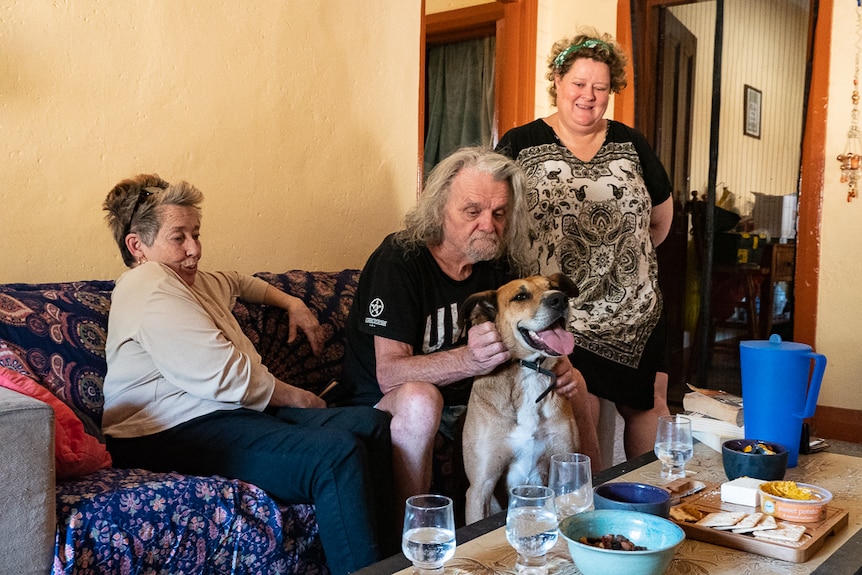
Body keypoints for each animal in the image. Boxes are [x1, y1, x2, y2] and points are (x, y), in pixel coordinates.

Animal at [460, 272, 580, 524]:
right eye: (520, 297)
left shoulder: (566, 463)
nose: (560, 299)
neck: (530, 369)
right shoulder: (479, 488)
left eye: (553, 286)